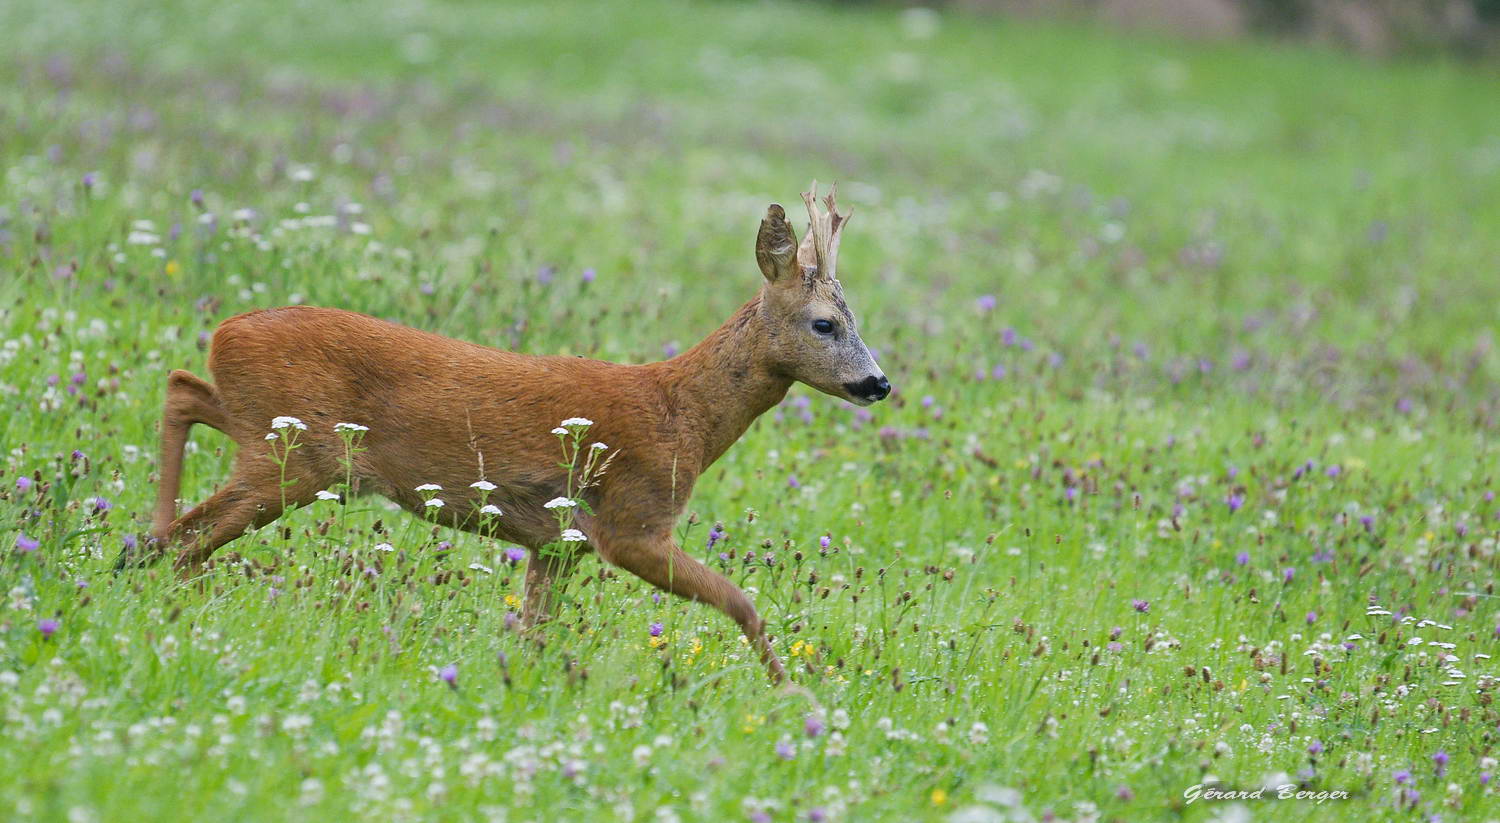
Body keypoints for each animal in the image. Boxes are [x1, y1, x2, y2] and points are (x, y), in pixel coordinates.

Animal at [126, 182, 888, 683]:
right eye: (825, 323)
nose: (878, 383)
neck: (685, 414)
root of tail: (228, 329)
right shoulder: (632, 520)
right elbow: (743, 602)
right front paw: (790, 693)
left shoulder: (558, 541)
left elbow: (534, 633)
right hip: (298, 453)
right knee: (192, 533)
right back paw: (155, 566)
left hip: (271, 430)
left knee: (182, 391)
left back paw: (144, 550)